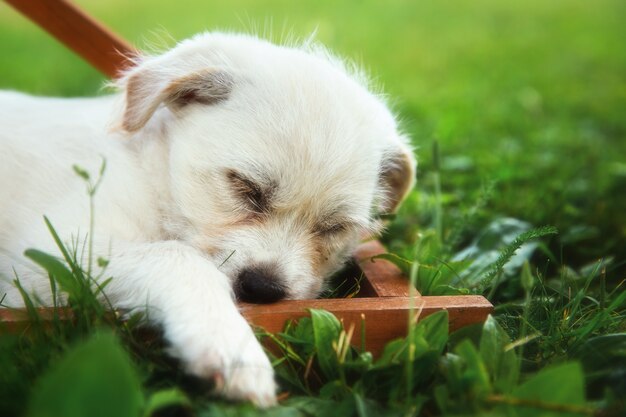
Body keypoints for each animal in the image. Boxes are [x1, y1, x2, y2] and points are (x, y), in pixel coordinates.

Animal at [0, 33, 414, 406]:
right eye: (245, 187)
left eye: (333, 228)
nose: (263, 289)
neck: (156, 174)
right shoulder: (45, 256)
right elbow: (176, 256)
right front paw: (230, 346)